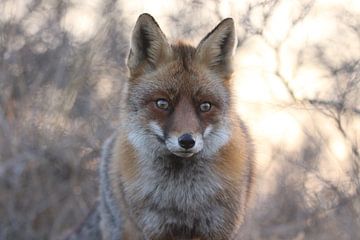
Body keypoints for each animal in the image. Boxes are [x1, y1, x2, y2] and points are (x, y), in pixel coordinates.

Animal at [98, 14, 255, 240]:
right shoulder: (156, 229)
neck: (182, 197)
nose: (187, 141)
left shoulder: (218, 229)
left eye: (205, 106)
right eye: (162, 103)